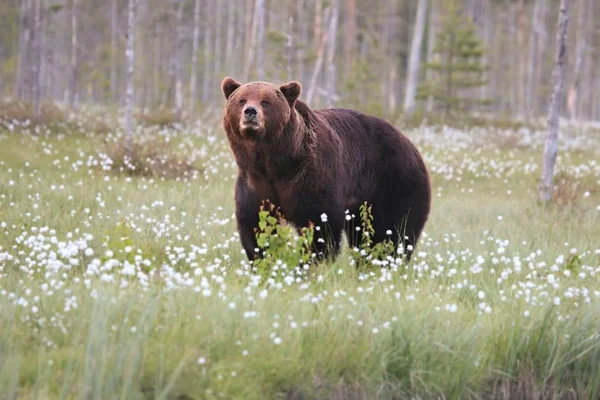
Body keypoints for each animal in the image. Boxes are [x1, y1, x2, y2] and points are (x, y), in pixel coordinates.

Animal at [220, 77, 432, 264]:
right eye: (242, 99)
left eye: (265, 101)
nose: (250, 112)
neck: (276, 163)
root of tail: (411, 144)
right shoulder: (255, 180)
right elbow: (255, 222)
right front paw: (263, 258)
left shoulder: (310, 175)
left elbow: (319, 222)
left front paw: (311, 262)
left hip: (393, 181)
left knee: (392, 229)